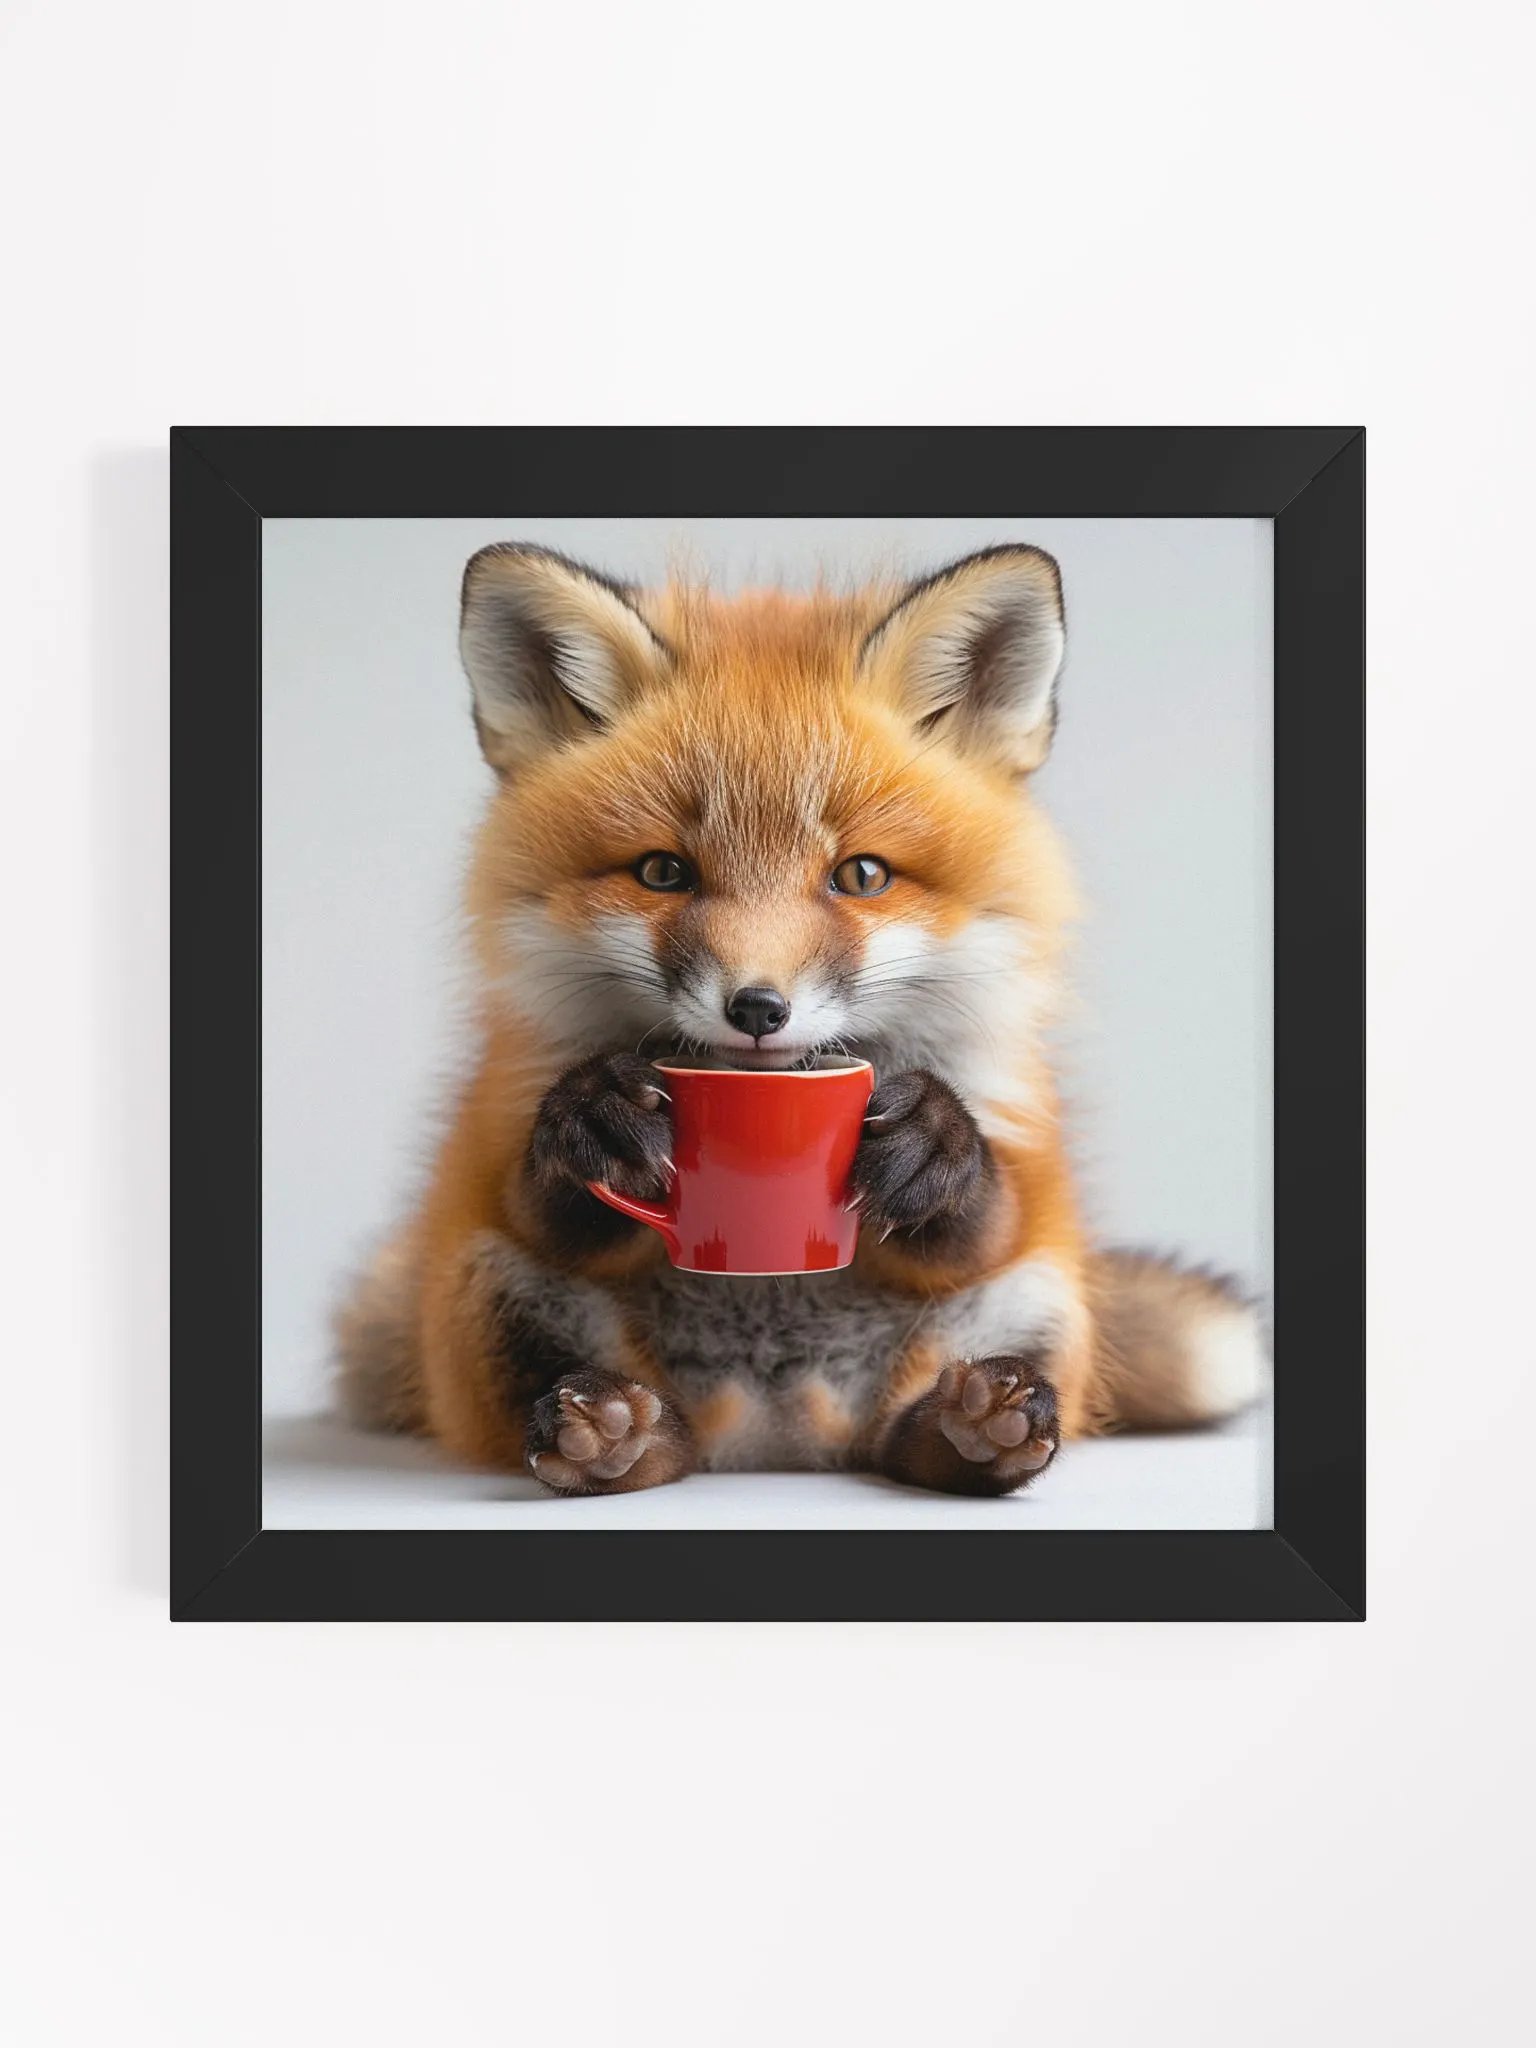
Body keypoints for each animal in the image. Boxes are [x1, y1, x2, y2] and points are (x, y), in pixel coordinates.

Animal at [334, 541, 1267, 1496]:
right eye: (663, 872)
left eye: (862, 875)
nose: (757, 1007)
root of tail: (775, 1437)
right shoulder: (502, 1143)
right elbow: (543, 1202)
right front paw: (595, 1112)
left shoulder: (1013, 1150)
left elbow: (981, 1221)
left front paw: (934, 1139)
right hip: (485, 1287)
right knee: (626, 1422)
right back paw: (615, 1440)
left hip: (1039, 1292)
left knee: (915, 1436)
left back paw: (973, 1432)